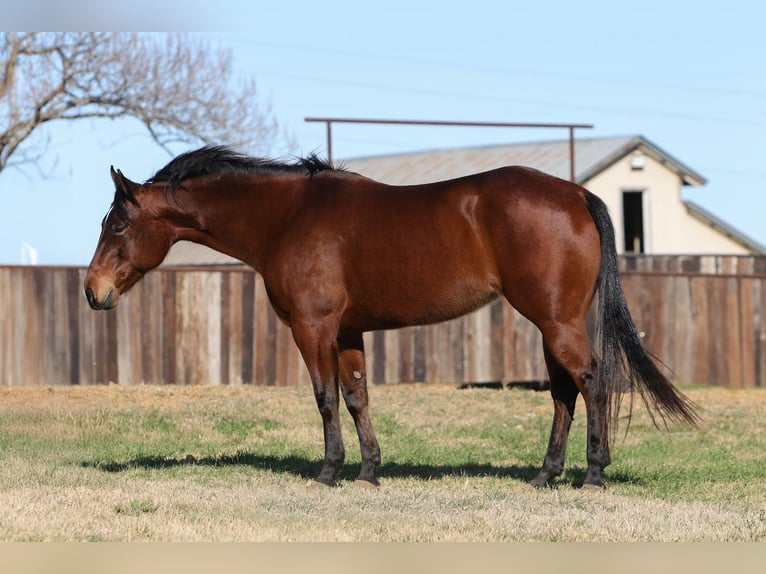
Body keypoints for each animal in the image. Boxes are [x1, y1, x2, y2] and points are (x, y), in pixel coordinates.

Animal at [84, 145, 699, 489]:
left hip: (557, 322)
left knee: (591, 382)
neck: (288, 216)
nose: (92, 291)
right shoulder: (348, 330)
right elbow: (357, 396)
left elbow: (325, 398)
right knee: (564, 392)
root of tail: (576, 194)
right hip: (552, 324)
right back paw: (545, 474)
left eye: (117, 224)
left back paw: (593, 474)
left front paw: (330, 471)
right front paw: (368, 471)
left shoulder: (313, 327)